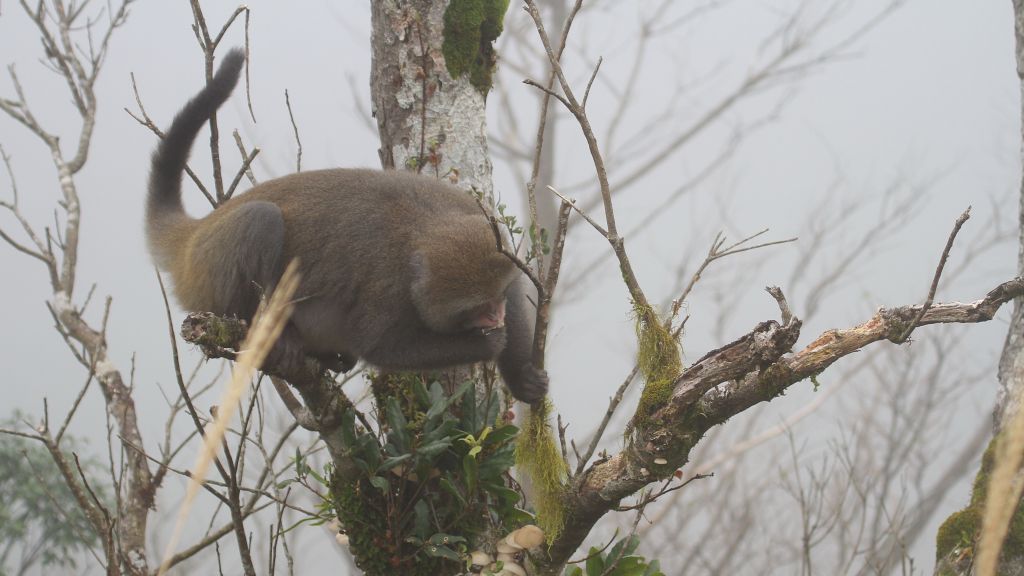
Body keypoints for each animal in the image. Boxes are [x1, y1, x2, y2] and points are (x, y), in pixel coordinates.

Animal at [147, 48, 548, 403]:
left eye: (495, 298)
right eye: (475, 308)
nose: (496, 315)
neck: (421, 227)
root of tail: (194, 235)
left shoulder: (474, 215)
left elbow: (512, 283)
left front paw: (519, 375)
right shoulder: (390, 288)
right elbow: (377, 344)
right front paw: (486, 343)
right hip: (208, 273)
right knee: (260, 220)